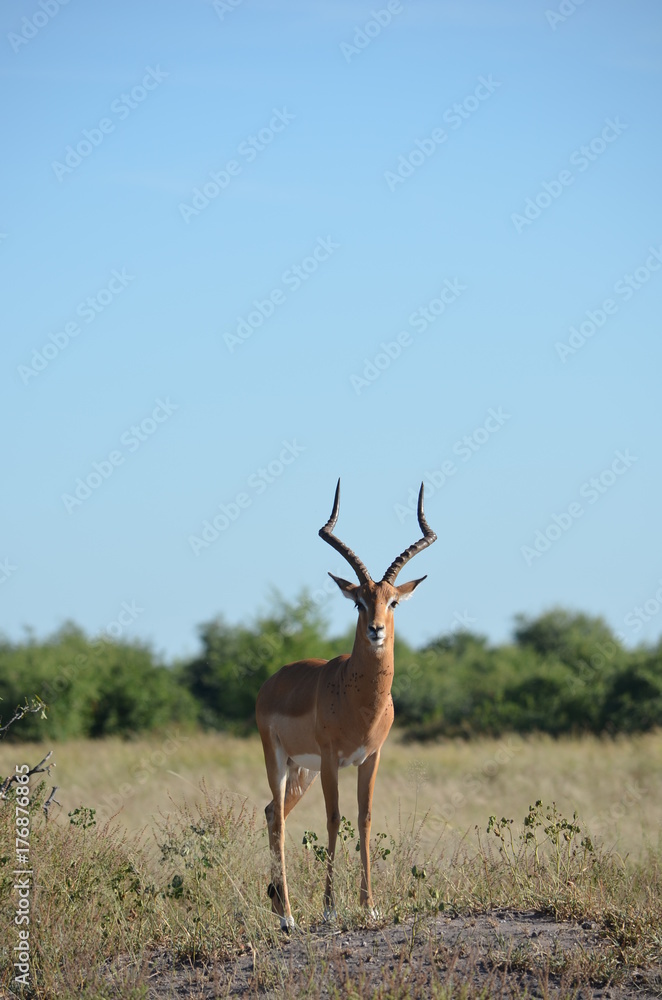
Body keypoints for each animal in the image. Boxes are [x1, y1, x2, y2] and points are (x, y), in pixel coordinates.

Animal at [256, 480, 436, 930]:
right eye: (359, 601)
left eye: (392, 601)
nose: (375, 630)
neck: (359, 701)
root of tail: (272, 681)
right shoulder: (331, 759)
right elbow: (334, 819)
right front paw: (329, 908)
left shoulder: (370, 757)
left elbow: (365, 818)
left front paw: (369, 906)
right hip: (280, 760)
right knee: (278, 819)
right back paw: (288, 918)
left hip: (301, 770)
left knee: (271, 813)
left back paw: (278, 906)